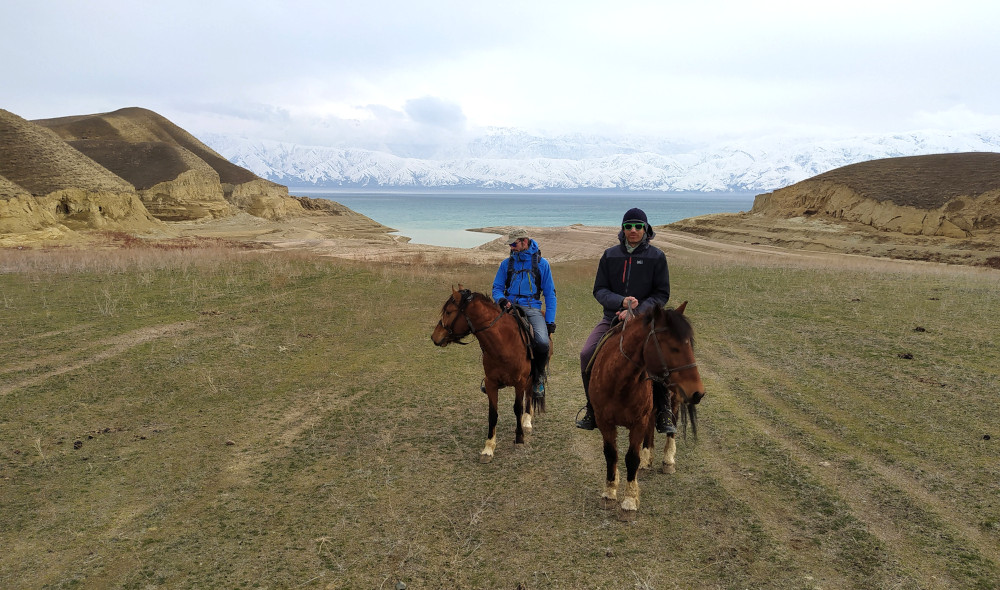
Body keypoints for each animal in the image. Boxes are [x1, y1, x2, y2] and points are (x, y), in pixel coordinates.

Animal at [430, 286, 549, 462]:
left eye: (449, 312)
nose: (434, 336)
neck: (503, 343)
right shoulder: (491, 383)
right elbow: (492, 414)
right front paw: (488, 448)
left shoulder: (519, 382)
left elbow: (517, 408)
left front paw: (519, 439)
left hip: (531, 375)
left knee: (529, 394)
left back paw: (527, 421)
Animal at [588, 302, 704, 514]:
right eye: (674, 348)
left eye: (689, 345)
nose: (698, 392)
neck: (619, 383)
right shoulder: (604, 421)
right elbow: (611, 454)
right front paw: (610, 492)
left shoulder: (637, 423)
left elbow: (630, 458)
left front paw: (629, 501)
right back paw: (646, 459)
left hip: (674, 399)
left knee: (672, 428)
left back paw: (668, 460)